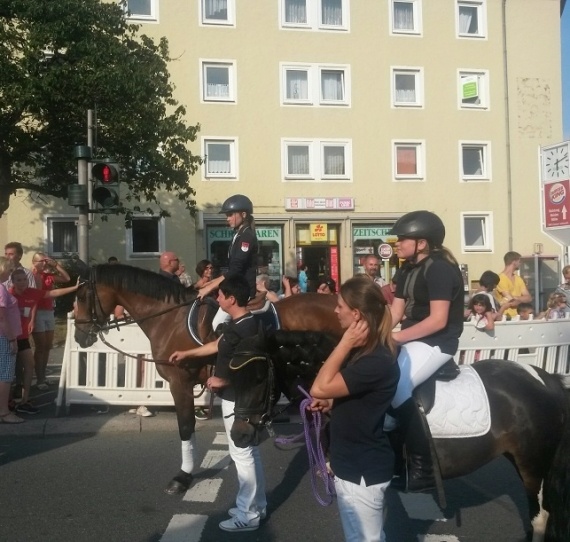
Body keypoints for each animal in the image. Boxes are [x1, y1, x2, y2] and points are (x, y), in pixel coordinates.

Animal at [72, 266, 340, 500]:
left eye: (82, 296)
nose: (79, 337)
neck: (171, 318)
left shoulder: (179, 383)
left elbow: (185, 427)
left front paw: (183, 477)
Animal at [229, 332, 568, 542]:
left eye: (258, 379)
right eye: (235, 379)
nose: (239, 435)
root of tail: (546, 379)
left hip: (533, 465)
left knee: (540, 516)